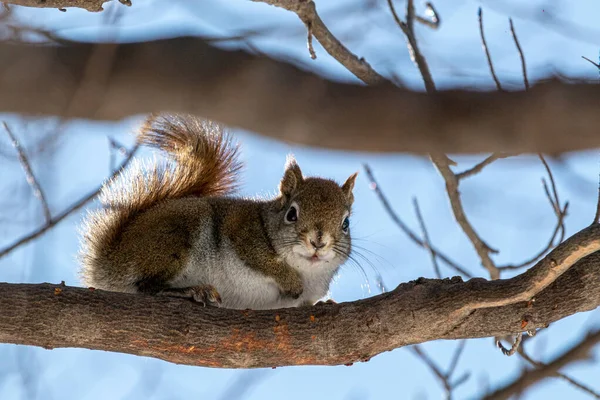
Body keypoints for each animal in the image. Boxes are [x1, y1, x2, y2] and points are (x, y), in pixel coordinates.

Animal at [77, 114, 356, 310]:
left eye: (346, 223)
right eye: (291, 214)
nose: (318, 242)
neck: (308, 272)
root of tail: (107, 263)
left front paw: (324, 302)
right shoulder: (241, 230)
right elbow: (263, 260)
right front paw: (289, 280)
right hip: (172, 239)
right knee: (147, 285)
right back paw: (190, 291)